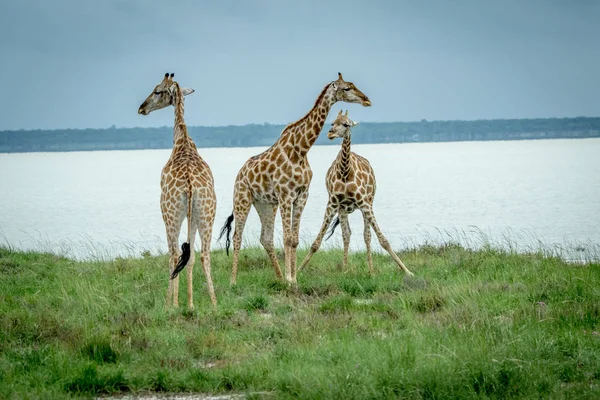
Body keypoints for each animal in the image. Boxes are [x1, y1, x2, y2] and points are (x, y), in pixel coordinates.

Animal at [138, 72, 218, 310]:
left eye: (157, 91)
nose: (142, 108)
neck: (182, 140)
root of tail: (190, 185)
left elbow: (175, 255)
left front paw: (171, 303)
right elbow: (190, 257)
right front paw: (190, 303)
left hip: (171, 213)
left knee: (173, 253)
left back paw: (172, 304)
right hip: (206, 213)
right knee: (203, 254)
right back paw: (213, 303)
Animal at [220, 73, 370, 286]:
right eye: (346, 88)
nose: (366, 100)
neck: (300, 150)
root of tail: (240, 173)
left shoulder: (301, 196)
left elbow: (294, 239)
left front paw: (293, 278)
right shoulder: (285, 195)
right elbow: (287, 238)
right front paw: (290, 279)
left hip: (265, 204)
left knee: (266, 238)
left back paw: (278, 276)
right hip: (242, 198)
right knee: (237, 236)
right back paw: (233, 281)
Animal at [298, 111, 412, 276]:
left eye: (346, 124)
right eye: (332, 123)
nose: (330, 133)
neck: (345, 172)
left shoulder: (364, 203)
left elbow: (383, 240)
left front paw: (407, 271)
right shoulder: (333, 203)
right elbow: (317, 242)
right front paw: (298, 269)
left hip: (369, 203)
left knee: (367, 235)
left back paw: (371, 270)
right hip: (343, 209)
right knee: (347, 234)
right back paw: (345, 269)